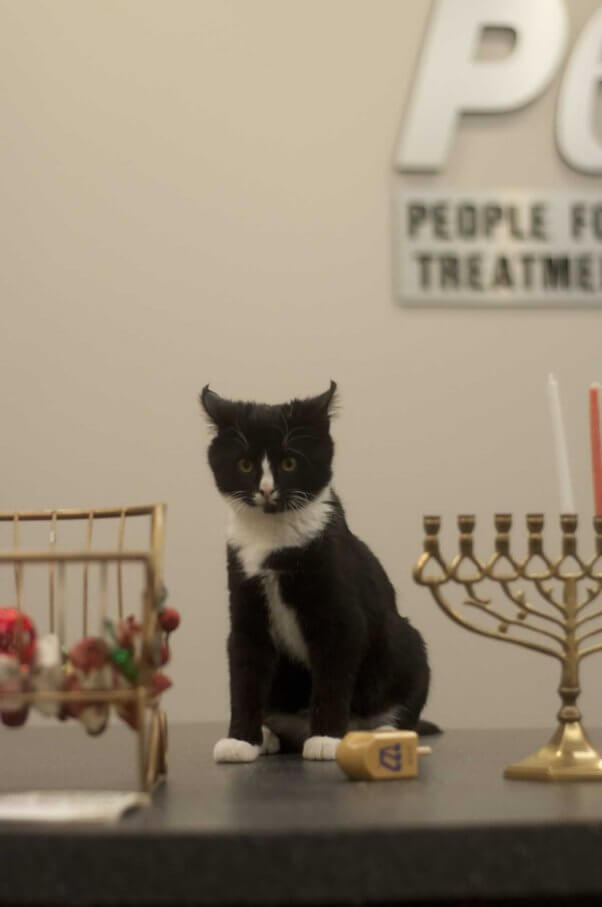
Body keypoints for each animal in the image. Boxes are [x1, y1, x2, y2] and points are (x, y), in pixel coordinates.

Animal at [199, 380, 434, 764]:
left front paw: (325, 738)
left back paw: (383, 732)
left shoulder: (339, 599)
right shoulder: (244, 591)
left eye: (290, 462)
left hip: (404, 645)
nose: (266, 490)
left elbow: (334, 671)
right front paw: (240, 740)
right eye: (245, 464)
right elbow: (245, 669)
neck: (273, 538)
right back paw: (269, 735)